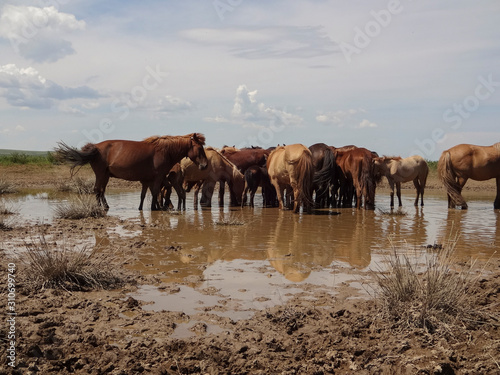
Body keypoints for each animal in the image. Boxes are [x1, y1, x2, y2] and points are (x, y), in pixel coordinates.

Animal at [55, 133, 208, 212]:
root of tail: (96, 147)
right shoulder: (158, 177)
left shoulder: (152, 179)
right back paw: (100, 207)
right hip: (100, 174)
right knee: (97, 190)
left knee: (101, 190)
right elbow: (155, 192)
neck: (164, 151)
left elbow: (150, 193)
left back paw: (106, 206)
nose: (205, 165)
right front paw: (155, 208)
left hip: (105, 175)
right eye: (199, 148)